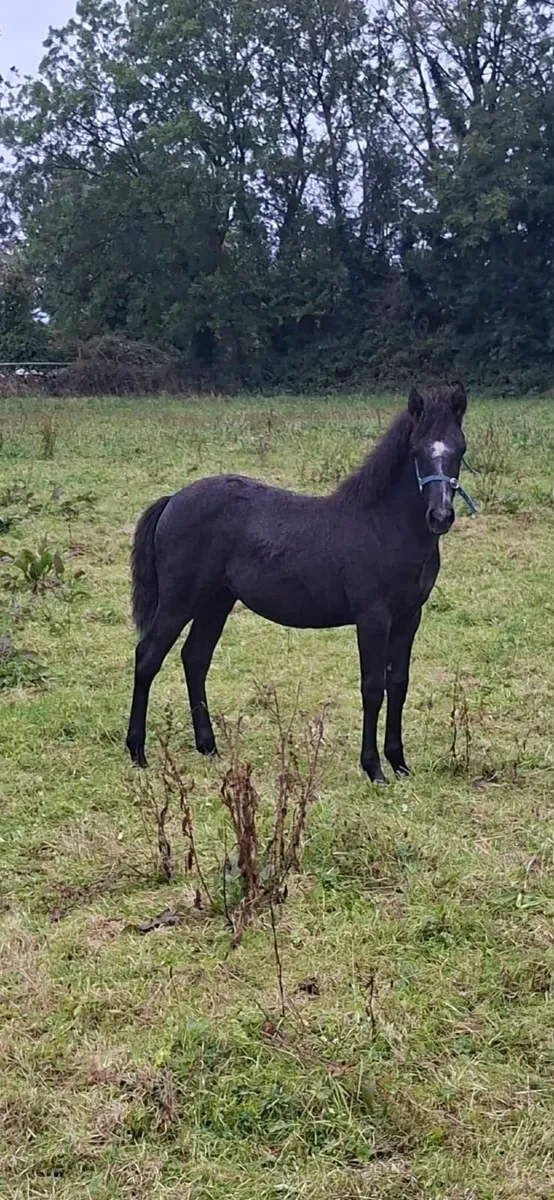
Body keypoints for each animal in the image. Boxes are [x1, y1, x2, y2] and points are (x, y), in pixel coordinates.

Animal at [126, 383, 475, 783]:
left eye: (460, 449)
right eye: (417, 450)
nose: (440, 516)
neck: (382, 526)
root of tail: (173, 501)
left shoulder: (409, 617)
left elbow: (398, 683)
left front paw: (399, 763)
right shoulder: (373, 617)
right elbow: (373, 687)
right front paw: (373, 768)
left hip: (216, 601)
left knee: (195, 658)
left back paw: (209, 747)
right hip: (178, 601)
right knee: (148, 657)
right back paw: (137, 751)